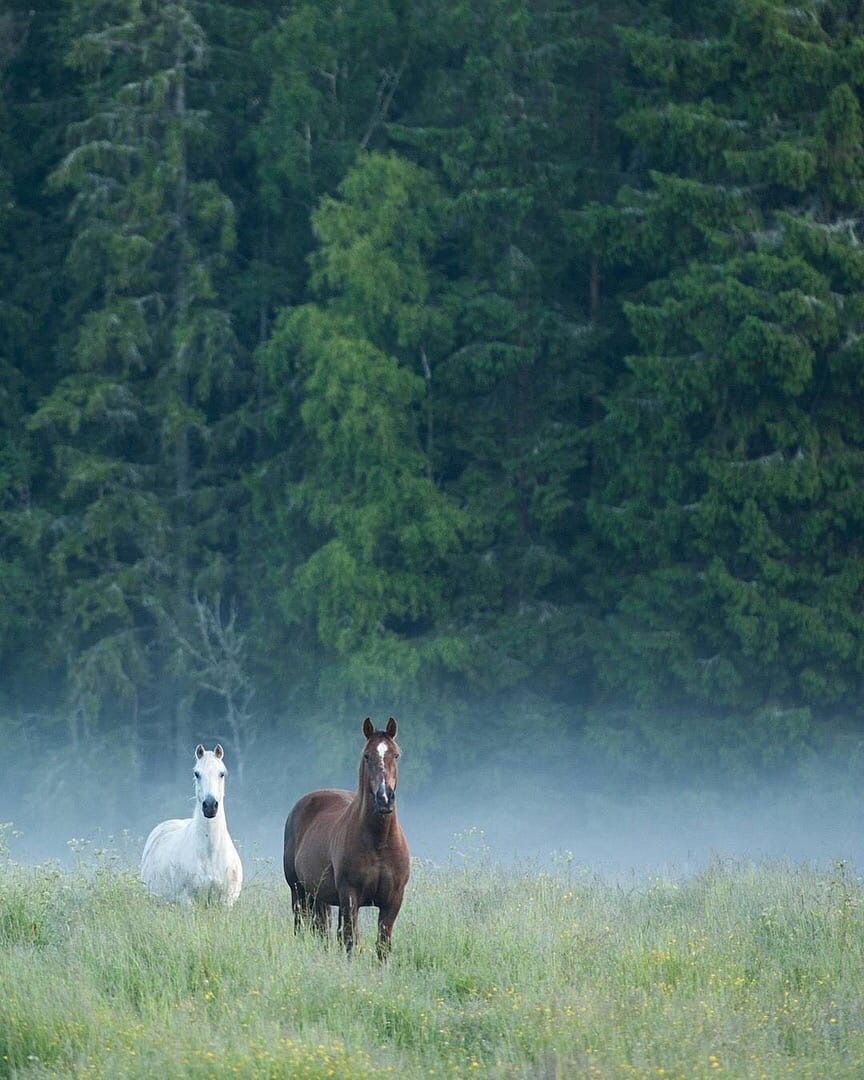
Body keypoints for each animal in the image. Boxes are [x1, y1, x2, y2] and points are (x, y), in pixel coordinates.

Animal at [140, 743, 243, 902]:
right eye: (197, 773)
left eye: (222, 773)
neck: (210, 854)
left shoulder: (226, 900)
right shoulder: (187, 900)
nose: (210, 806)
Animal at [280, 717, 408, 954]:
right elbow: (351, 941)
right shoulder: (350, 896)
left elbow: (382, 945)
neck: (379, 842)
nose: (384, 798)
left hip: (321, 897)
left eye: (396, 754)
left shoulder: (392, 901)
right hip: (299, 892)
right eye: (366, 755)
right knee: (303, 927)